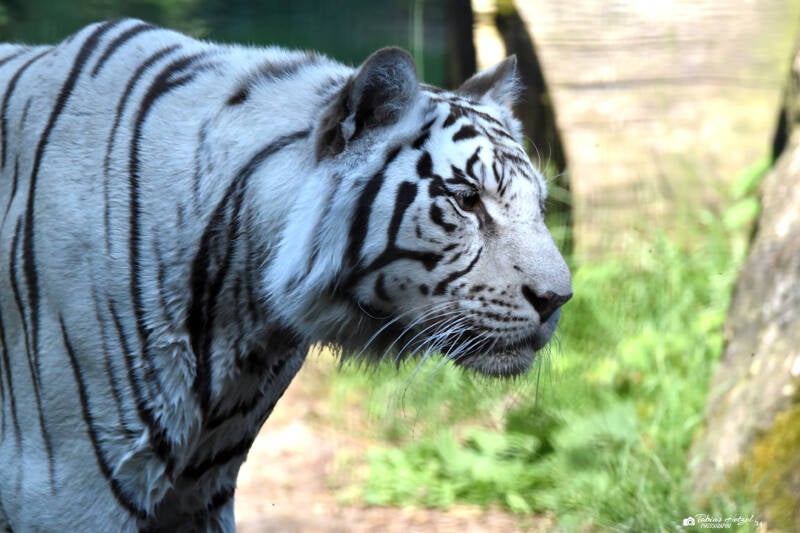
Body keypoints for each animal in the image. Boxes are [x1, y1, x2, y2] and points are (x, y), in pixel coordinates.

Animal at [0, 19, 572, 531]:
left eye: (540, 205)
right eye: (467, 200)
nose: (557, 299)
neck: (243, 311)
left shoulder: (198, 491)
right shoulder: (70, 484)